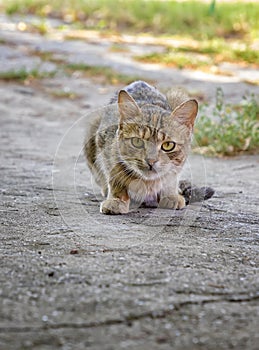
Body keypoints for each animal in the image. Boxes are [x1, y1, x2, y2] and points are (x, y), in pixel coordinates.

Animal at [84, 81, 214, 215]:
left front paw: (170, 194)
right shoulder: (108, 149)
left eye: (168, 145)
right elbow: (116, 177)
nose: (151, 161)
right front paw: (117, 200)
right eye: (137, 142)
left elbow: (171, 177)